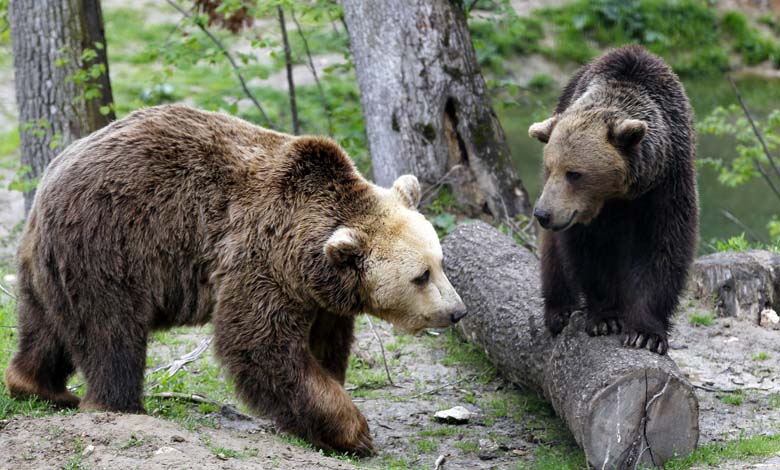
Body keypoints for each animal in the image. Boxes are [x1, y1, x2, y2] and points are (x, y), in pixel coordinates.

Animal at [3, 104, 466, 454]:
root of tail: (49, 178)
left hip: (48, 264)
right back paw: (117, 405)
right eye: (421, 275)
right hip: (109, 244)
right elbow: (258, 343)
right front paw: (354, 432)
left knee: (46, 327)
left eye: (441, 263)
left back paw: (40, 387)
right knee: (111, 331)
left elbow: (325, 345)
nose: (457, 311)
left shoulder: (320, 294)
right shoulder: (262, 258)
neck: (308, 255)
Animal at [528, 46, 696, 356]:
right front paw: (605, 318)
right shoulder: (587, 215)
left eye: (574, 173)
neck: (618, 195)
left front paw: (645, 334)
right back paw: (559, 312)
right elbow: (589, 252)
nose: (543, 214)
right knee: (553, 257)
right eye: (550, 167)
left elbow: (664, 245)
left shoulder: (666, 182)